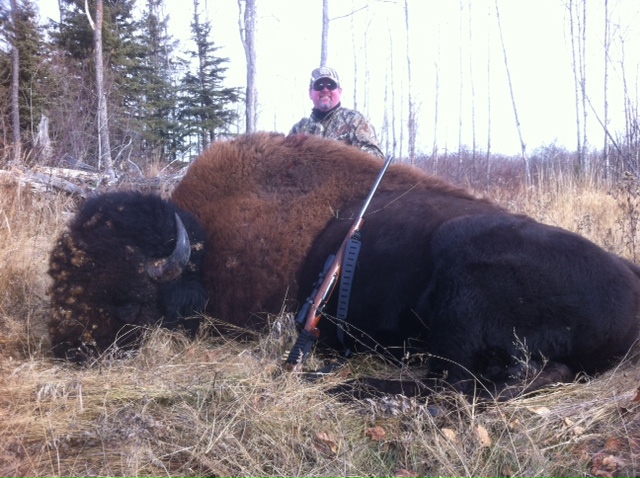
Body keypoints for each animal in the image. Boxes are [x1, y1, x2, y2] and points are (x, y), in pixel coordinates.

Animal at [48, 132, 640, 397]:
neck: (203, 243)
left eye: (126, 301)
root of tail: (629, 283)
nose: (68, 351)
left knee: (459, 380)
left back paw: (354, 387)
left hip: (463, 264)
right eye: (56, 281)